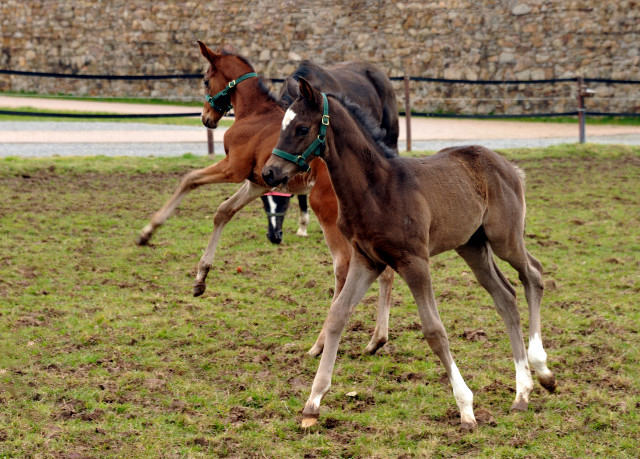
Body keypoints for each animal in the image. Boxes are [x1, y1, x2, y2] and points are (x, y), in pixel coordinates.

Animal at [135, 42, 396, 356]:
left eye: (206, 80)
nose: (206, 119)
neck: (254, 114)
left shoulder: (233, 168)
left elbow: (189, 179)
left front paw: (147, 232)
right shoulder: (258, 183)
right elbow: (223, 211)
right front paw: (200, 279)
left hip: (325, 208)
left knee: (342, 266)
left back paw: (320, 344)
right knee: (384, 270)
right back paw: (376, 339)